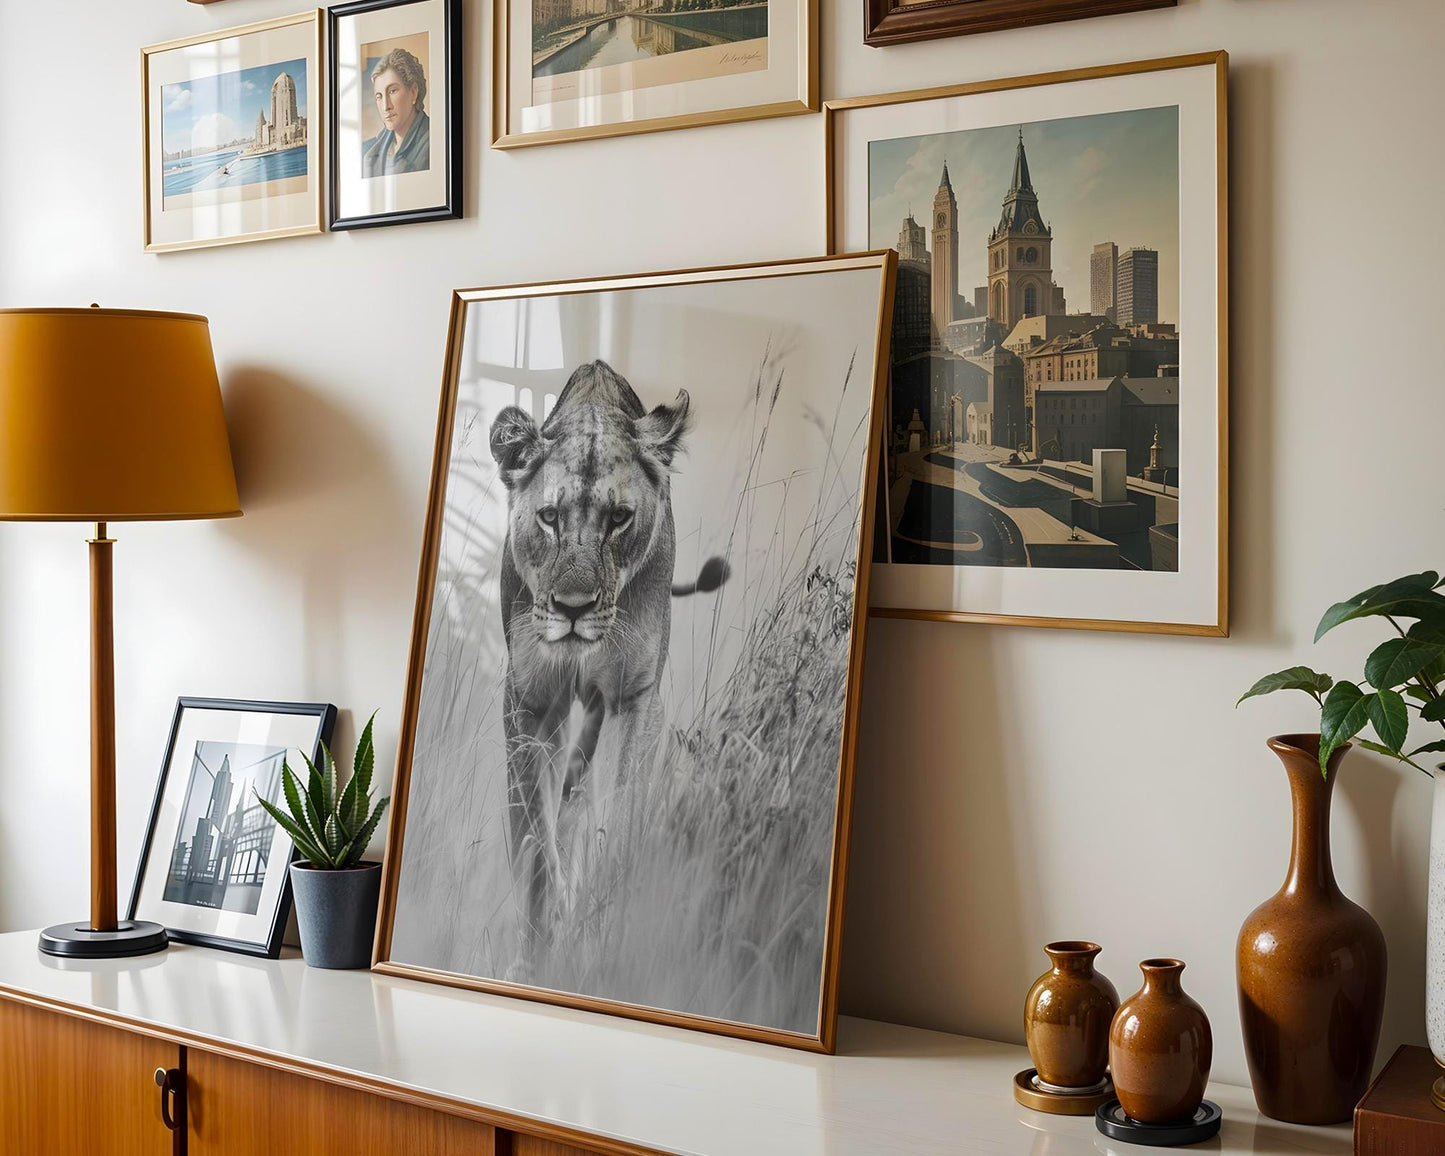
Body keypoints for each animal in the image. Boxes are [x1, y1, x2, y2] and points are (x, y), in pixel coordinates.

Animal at [488, 359, 728, 942]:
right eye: (549, 517)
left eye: (618, 518)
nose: (573, 607)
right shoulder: (528, 699)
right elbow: (532, 833)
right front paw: (542, 927)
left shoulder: (633, 698)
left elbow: (617, 816)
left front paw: (596, 917)